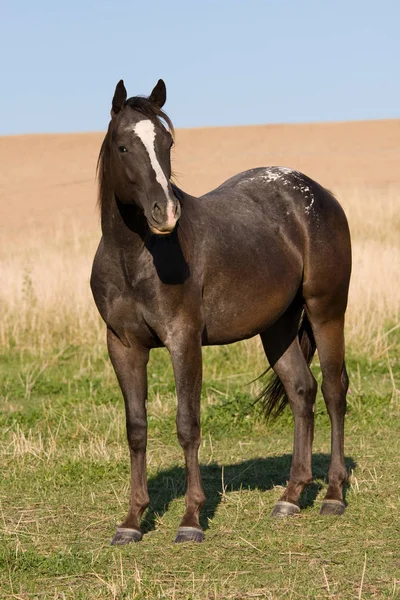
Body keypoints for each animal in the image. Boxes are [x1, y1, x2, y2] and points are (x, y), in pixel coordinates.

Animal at [90, 78, 350, 544]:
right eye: (123, 146)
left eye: (167, 142)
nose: (165, 211)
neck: (135, 256)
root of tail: (317, 195)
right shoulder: (122, 346)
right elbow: (136, 429)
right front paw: (132, 521)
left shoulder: (183, 341)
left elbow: (187, 424)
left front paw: (191, 519)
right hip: (278, 328)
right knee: (302, 391)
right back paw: (290, 496)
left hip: (327, 312)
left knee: (334, 391)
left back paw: (334, 495)